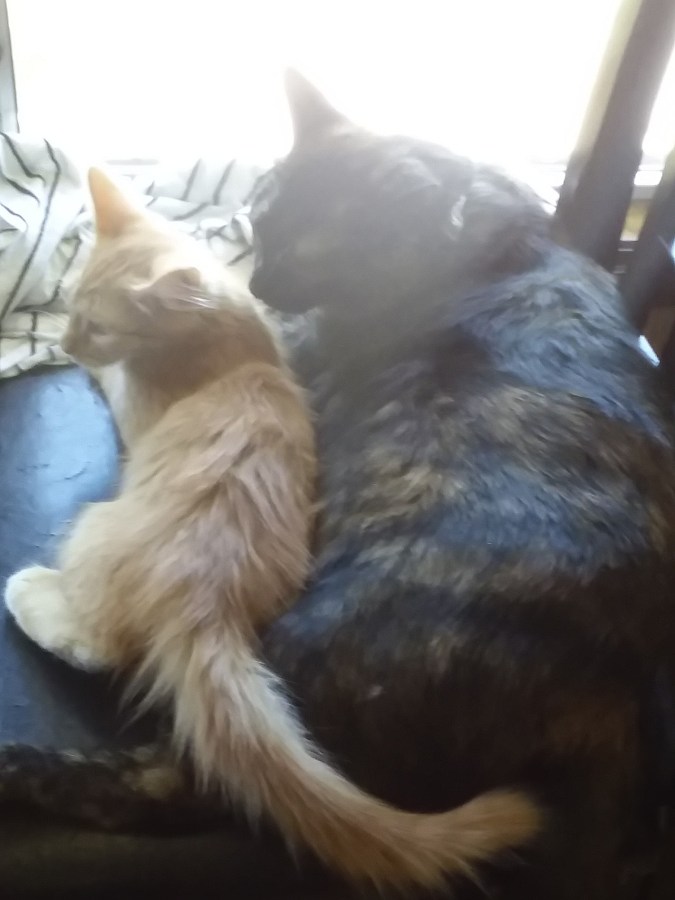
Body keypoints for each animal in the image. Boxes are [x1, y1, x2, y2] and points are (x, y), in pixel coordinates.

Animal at [3, 168, 538, 891]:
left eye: (99, 325)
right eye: (73, 304)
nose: (64, 345)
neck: (228, 344)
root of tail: (208, 602)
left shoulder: (133, 401)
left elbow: (110, 379)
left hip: (95, 527)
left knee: (98, 645)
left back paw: (30, 594)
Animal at [248, 71, 675, 899]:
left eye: (312, 251)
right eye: (260, 215)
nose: (257, 277)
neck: (488, 242)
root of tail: (597, 699)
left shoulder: (307, 345)